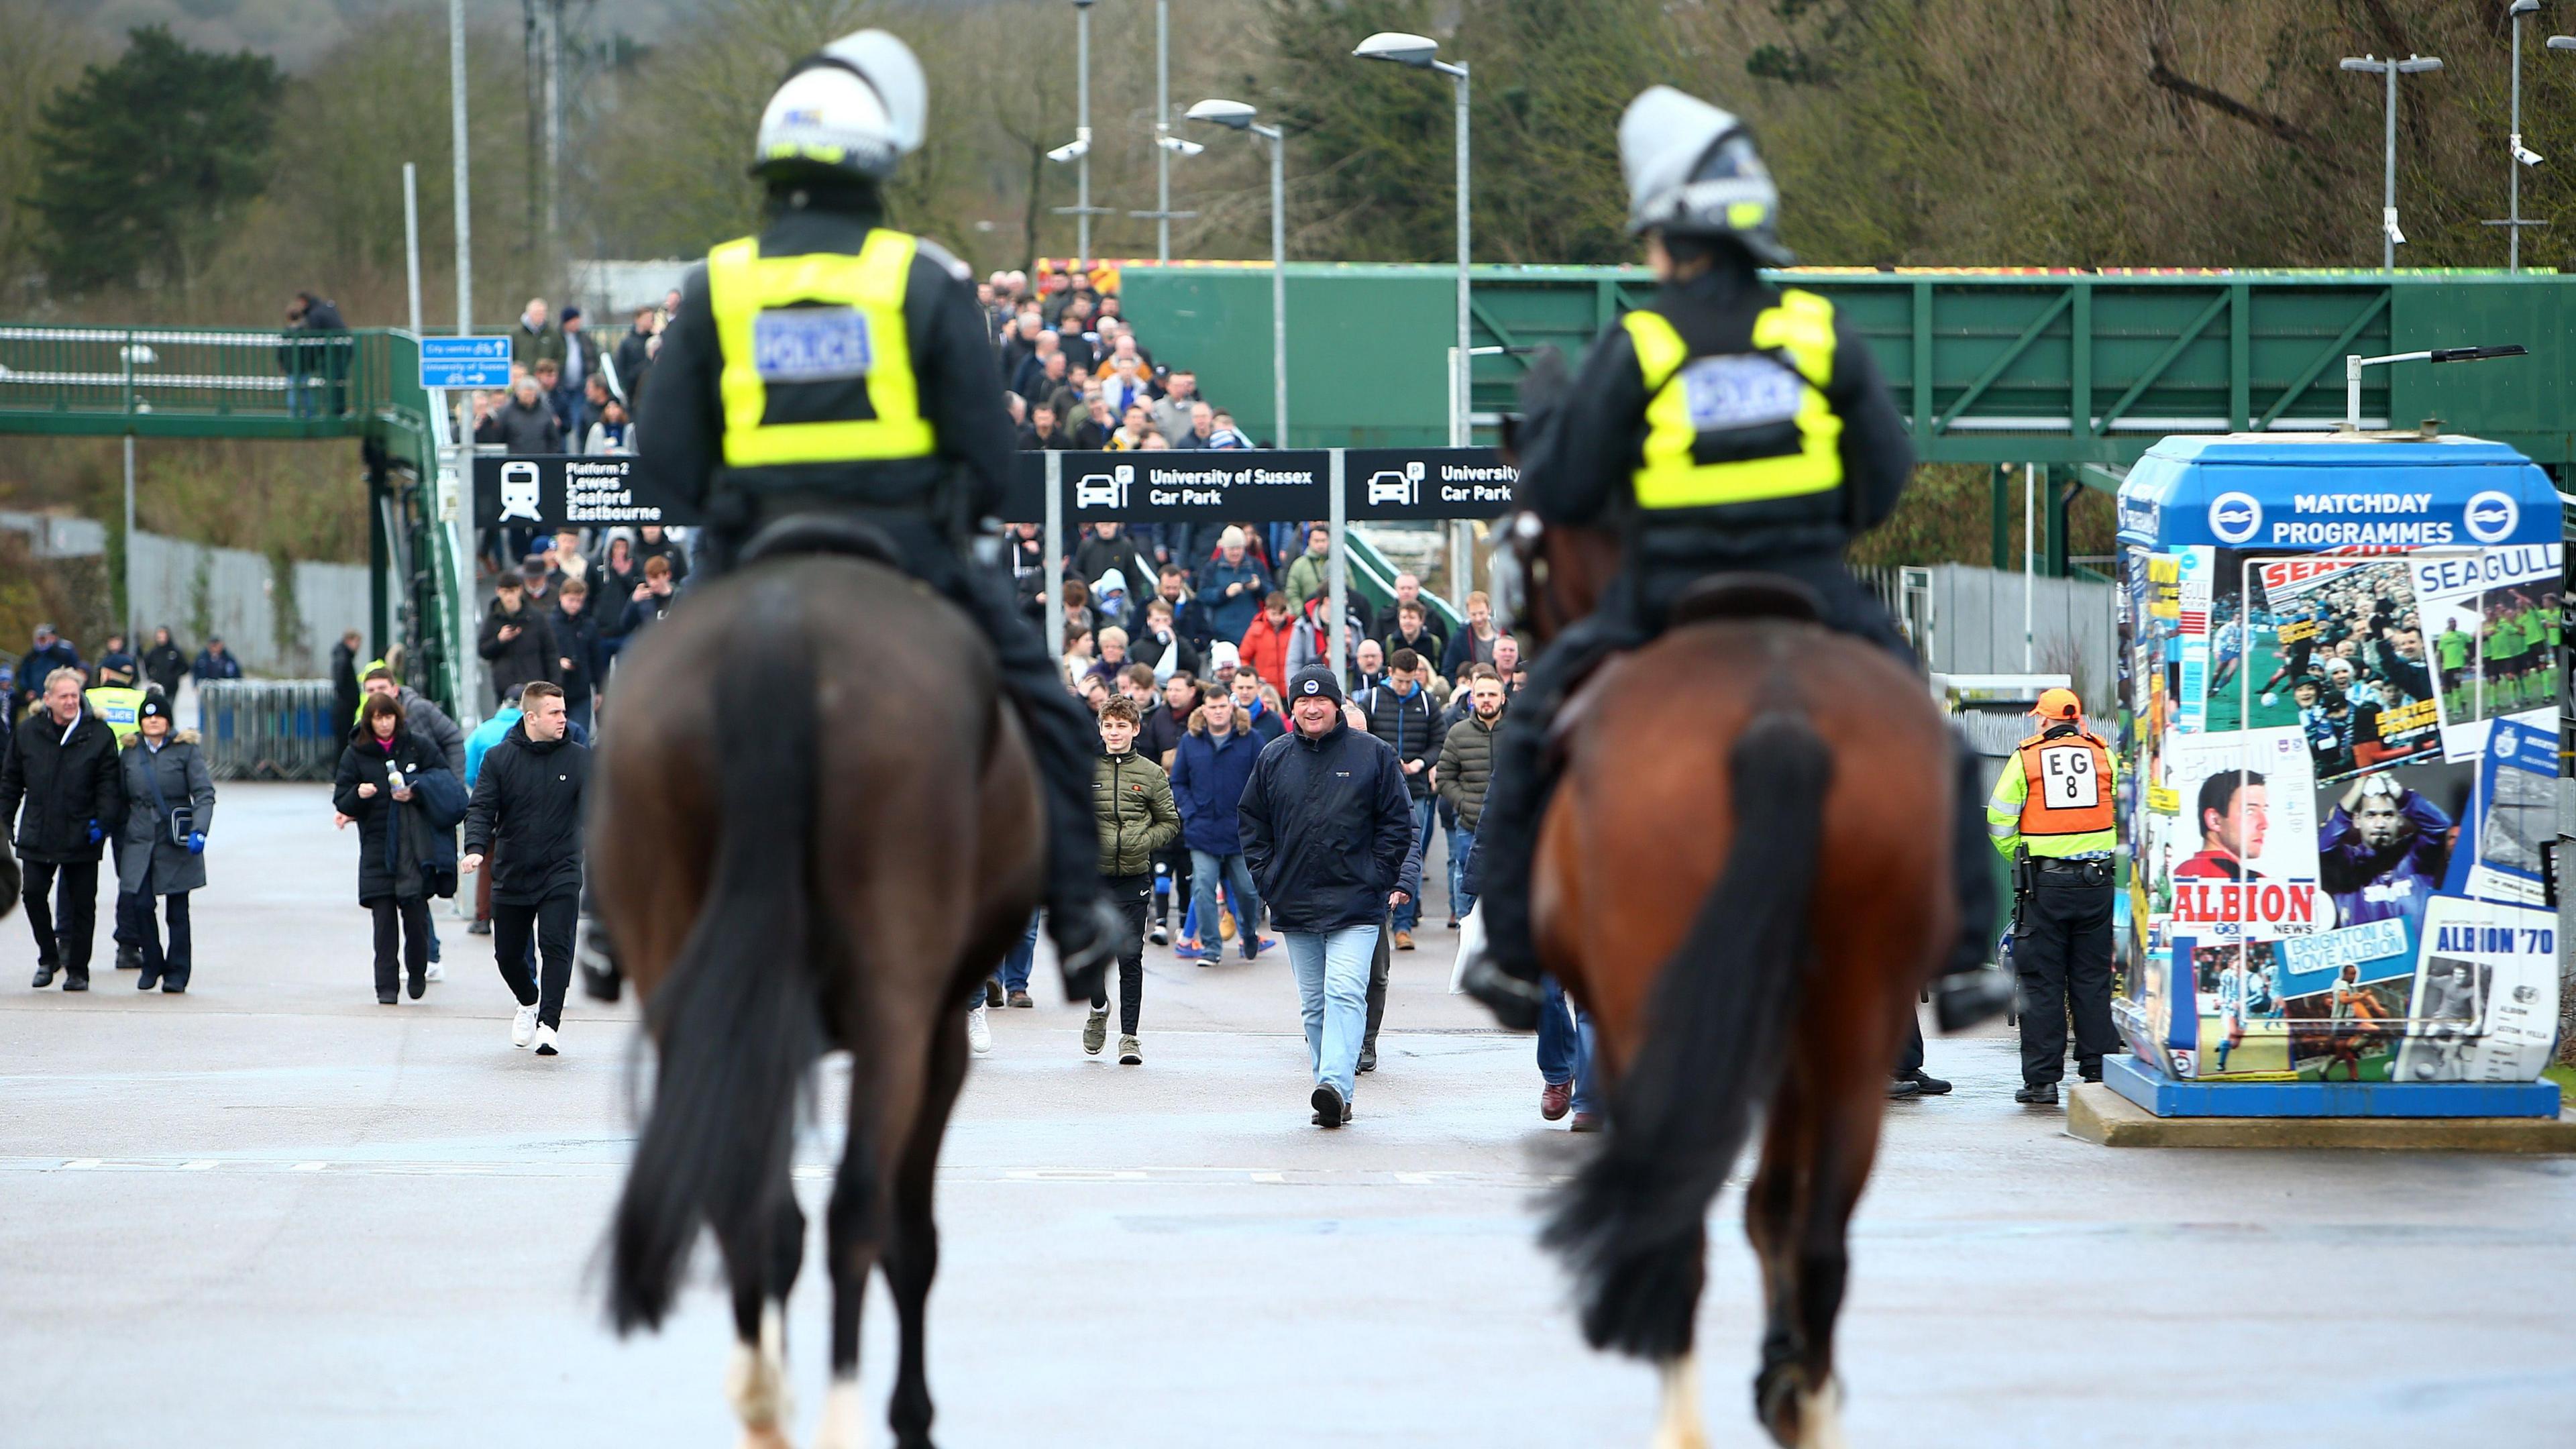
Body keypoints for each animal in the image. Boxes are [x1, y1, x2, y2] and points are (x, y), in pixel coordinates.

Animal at [592, 533, 1046, 1444]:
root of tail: (777, 625)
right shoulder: (934, 1038)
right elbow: (911, 1237)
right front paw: (911, 1411)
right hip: (892, 1006)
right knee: (857, 1210)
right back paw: (841, 1409)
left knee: (752, 1208)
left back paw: (765, 1400)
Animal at [1504, 515, 1947, 1444]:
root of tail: (1777, 715)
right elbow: (1773, 1205)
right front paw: (1784, 1368)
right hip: (1854, 1015)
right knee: (1822, 1241)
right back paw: (1805, 1399)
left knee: (1679, 1218)